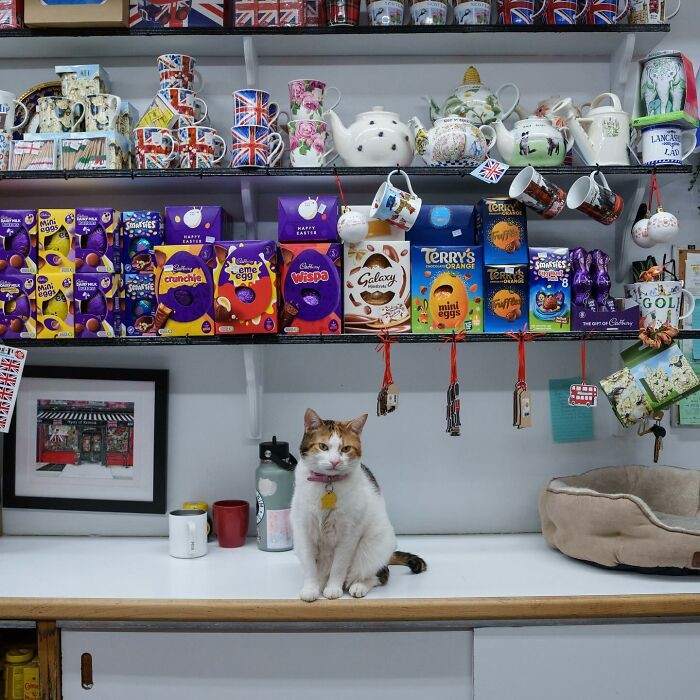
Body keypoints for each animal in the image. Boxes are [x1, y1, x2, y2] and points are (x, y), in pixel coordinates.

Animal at [290, 408, 426, 602]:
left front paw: (333, 588)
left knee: (380, 575)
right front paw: (311, 588)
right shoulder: (304, 531)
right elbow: (310, 566)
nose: (335, 461)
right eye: (323, 446)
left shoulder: (349, 534)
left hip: (371, 548)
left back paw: (358, 586)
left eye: (346, 448)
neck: (327, 484)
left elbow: (339, 566)